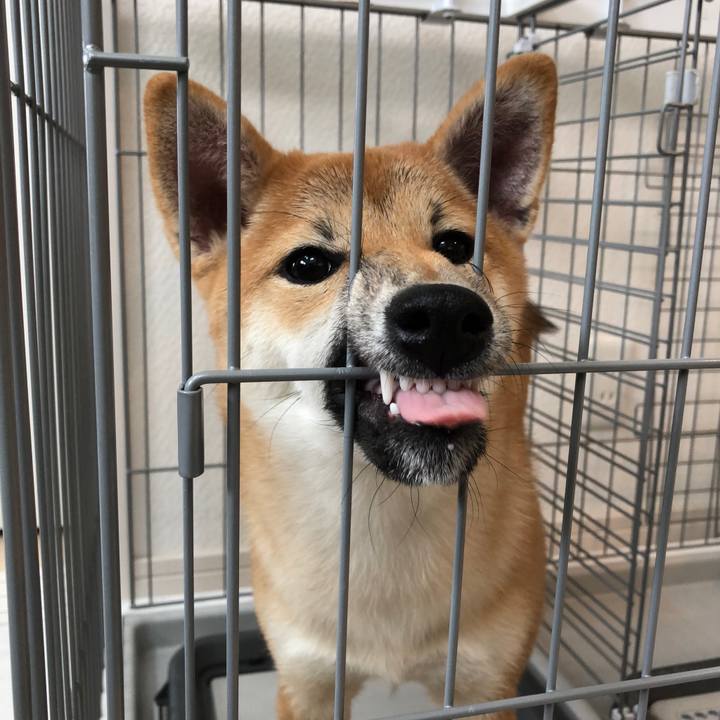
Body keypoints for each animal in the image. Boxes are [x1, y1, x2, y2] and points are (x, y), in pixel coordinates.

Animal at [145, 51, 557, 720]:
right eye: (308, 263)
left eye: (456, 245)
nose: (445, 313)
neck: (382, 516)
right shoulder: (306, 681)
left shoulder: (486, 684)